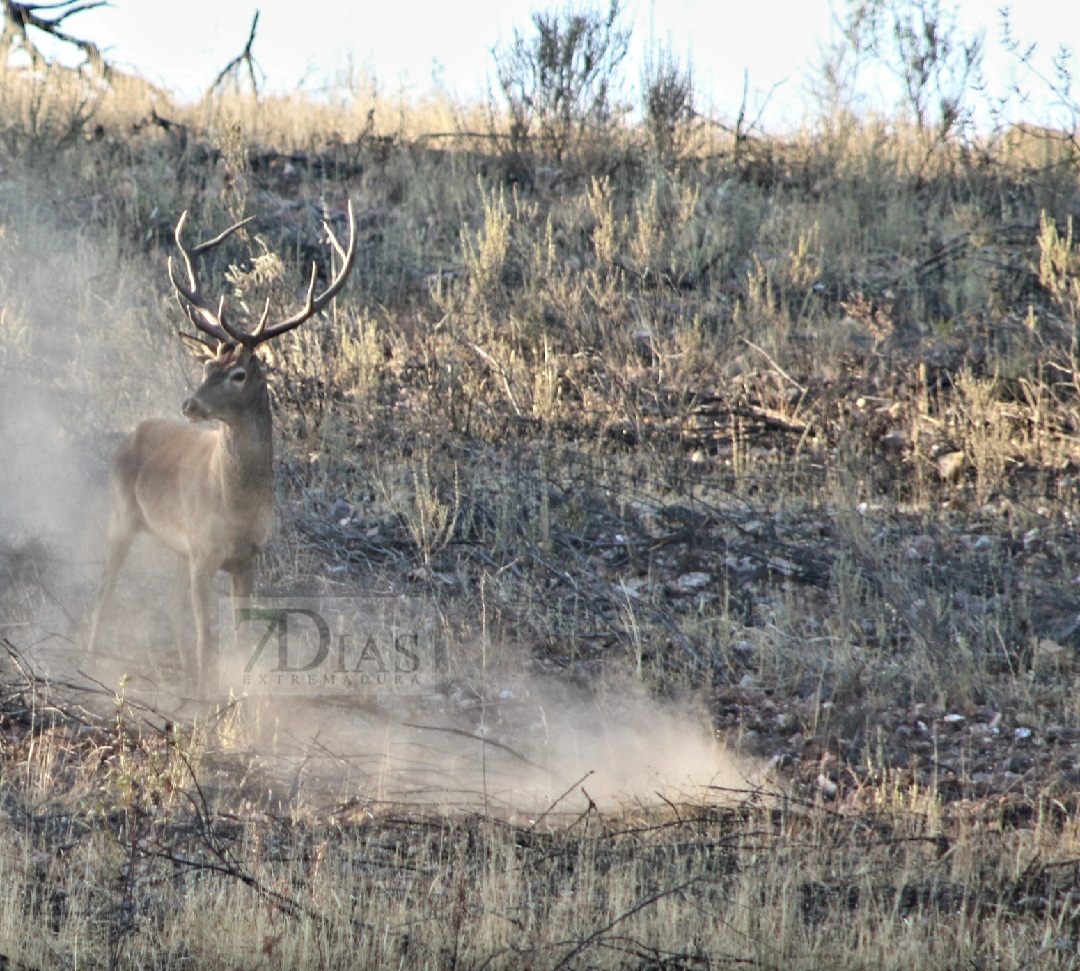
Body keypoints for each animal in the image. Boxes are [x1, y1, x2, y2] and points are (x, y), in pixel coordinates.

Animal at [89, 200, 358, 699]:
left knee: (169, 604)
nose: (189, 404)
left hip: (177, 546)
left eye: (238, 374)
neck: (235, 502)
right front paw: (208, 700)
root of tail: (131, 434)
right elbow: (208, 640)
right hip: (122, 514)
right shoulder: (203, 552)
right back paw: (90, 659)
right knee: (105, 588)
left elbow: (241, 635)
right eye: (208, 365)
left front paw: (242, 696)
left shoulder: (246, 557)